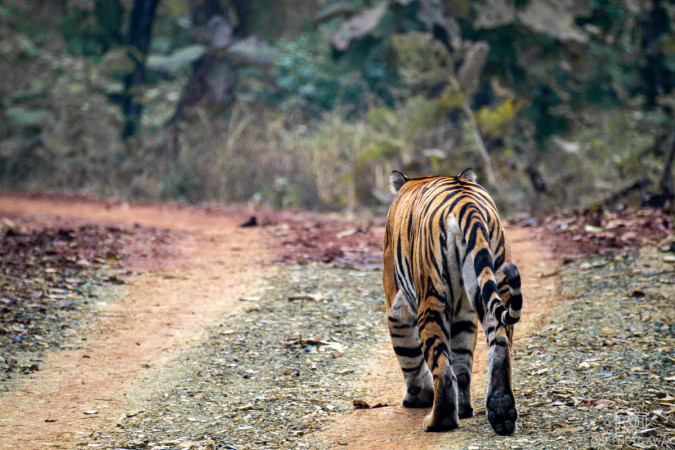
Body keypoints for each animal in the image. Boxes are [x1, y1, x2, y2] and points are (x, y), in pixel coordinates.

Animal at [382, 168, 523, 435]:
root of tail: (468, 204)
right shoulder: (463, 309)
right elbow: (462, 361)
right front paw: (465, 409)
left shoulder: (396, 304)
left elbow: (407, 351)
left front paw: (417, 397)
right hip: (493, 281)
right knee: (499, 343)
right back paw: (500, 410)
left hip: (431, 298)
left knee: (442, 368)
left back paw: (438, 420)